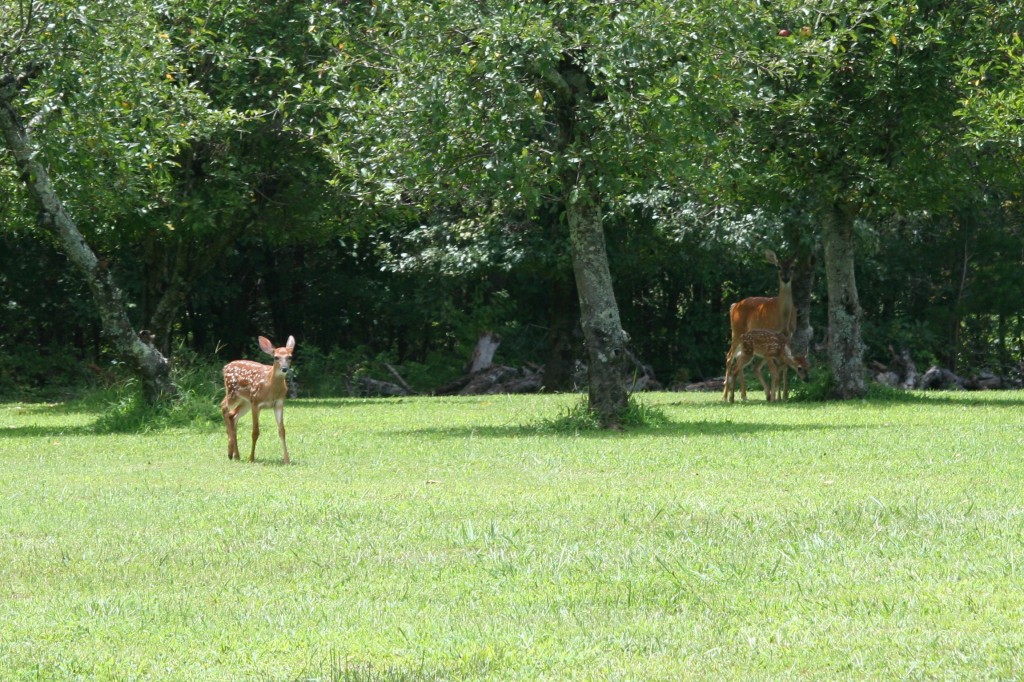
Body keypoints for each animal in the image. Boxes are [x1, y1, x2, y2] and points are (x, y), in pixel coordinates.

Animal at [221, 336, 295, 464]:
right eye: (276, 357)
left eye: (289, 357)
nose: (284, 368)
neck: (270, 388)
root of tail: (225, 367)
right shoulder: (256, 402)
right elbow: (255, 432)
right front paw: (251, 459)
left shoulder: (279, 403)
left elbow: (282, 431)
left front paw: (287, 460)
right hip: (233, 393)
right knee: (223, 406)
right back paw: (230, 452)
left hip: (245, 402)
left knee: (232, 415)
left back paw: (236, 455)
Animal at [722, 249, 797, 401]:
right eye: (778, 267)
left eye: (792, 267)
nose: (785, 278)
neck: (783, 318)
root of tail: (734, 306)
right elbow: (776, 365)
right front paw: (777, 395)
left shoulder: (790, 336)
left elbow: (784, 364)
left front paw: (783, 395)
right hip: (737, 331)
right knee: (729, 357)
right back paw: (726, 396)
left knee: (739, 358)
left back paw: (744, 395)